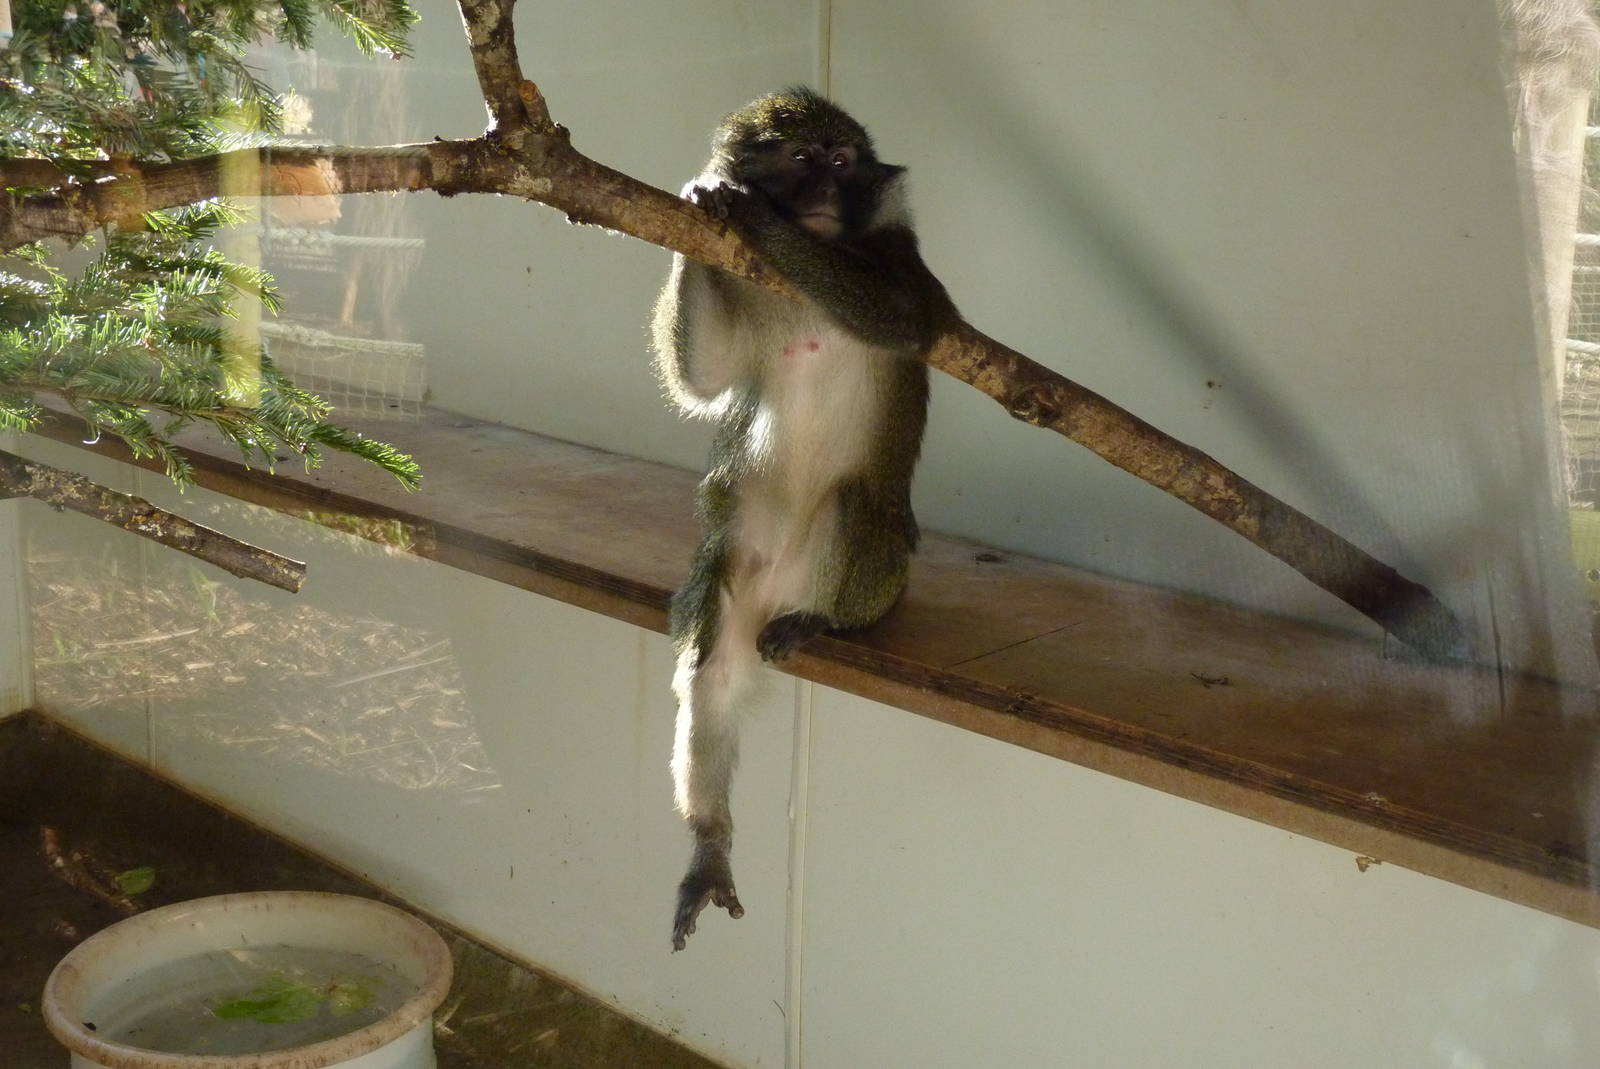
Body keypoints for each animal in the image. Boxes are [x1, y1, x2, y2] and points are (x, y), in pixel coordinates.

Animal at [650, 88, 953, 950]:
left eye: (842, 162)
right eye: (798, 160)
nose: (818, 193)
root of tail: (779, 590)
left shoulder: (899, 253)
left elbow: (903, 317)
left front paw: (756, 218)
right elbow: (704, 376)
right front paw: (702, 198)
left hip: (877, 573)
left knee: (855, 503)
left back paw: (822, 619)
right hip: (733, 566)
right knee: (710, 664)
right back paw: (709, 839)